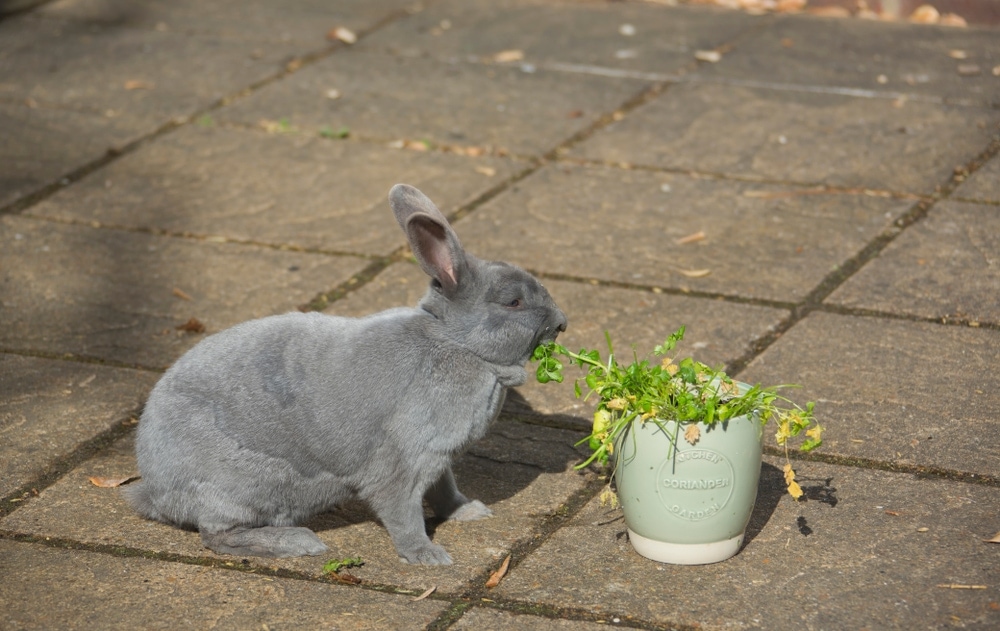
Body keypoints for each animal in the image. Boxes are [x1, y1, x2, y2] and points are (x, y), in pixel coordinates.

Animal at [124, 183, 567, 565]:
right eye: (513, 302)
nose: (562, 323)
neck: (455, 343)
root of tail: (155, 490)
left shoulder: (439, 461)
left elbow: (445, 492)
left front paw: (471, 512)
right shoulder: (403, 462)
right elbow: (403, 513)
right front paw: (428, 557)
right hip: (239, 488)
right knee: (217, 536)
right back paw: (300, 543)